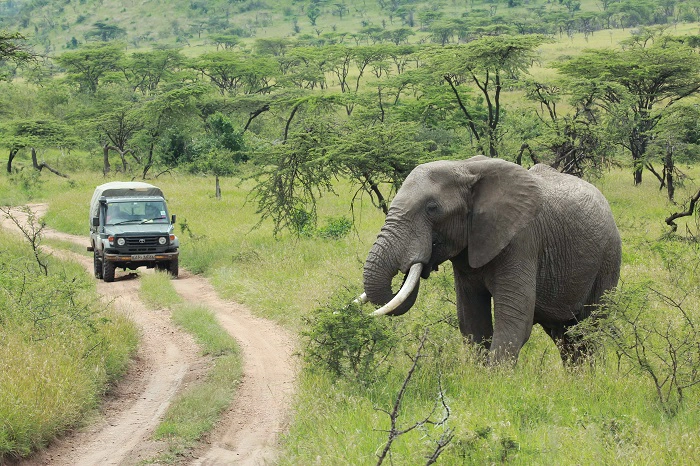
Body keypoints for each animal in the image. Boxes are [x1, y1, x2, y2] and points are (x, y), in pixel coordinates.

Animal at [358, 157, 620, 364]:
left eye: (432, 208)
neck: (463, 167)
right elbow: (472, 321)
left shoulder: (521, 240)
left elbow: (514, 321)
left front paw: (495, 383)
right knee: (565, 336)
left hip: (608, 259)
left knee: (589, 330)